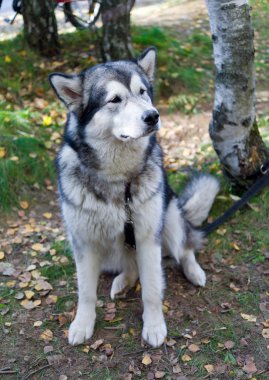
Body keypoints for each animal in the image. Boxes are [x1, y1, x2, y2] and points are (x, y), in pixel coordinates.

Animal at [48, 47, 218, 348]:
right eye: (115, 99)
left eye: (143, 92)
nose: (153, 116)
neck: (119, 179)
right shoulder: (84, 243)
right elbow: (86, 292)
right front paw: (82, 324)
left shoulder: (148, 238)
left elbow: (151, 289)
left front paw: (154, 326)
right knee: (129, 266)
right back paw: (122, 281)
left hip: (169, 219)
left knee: (185, 248)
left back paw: (193, 271)